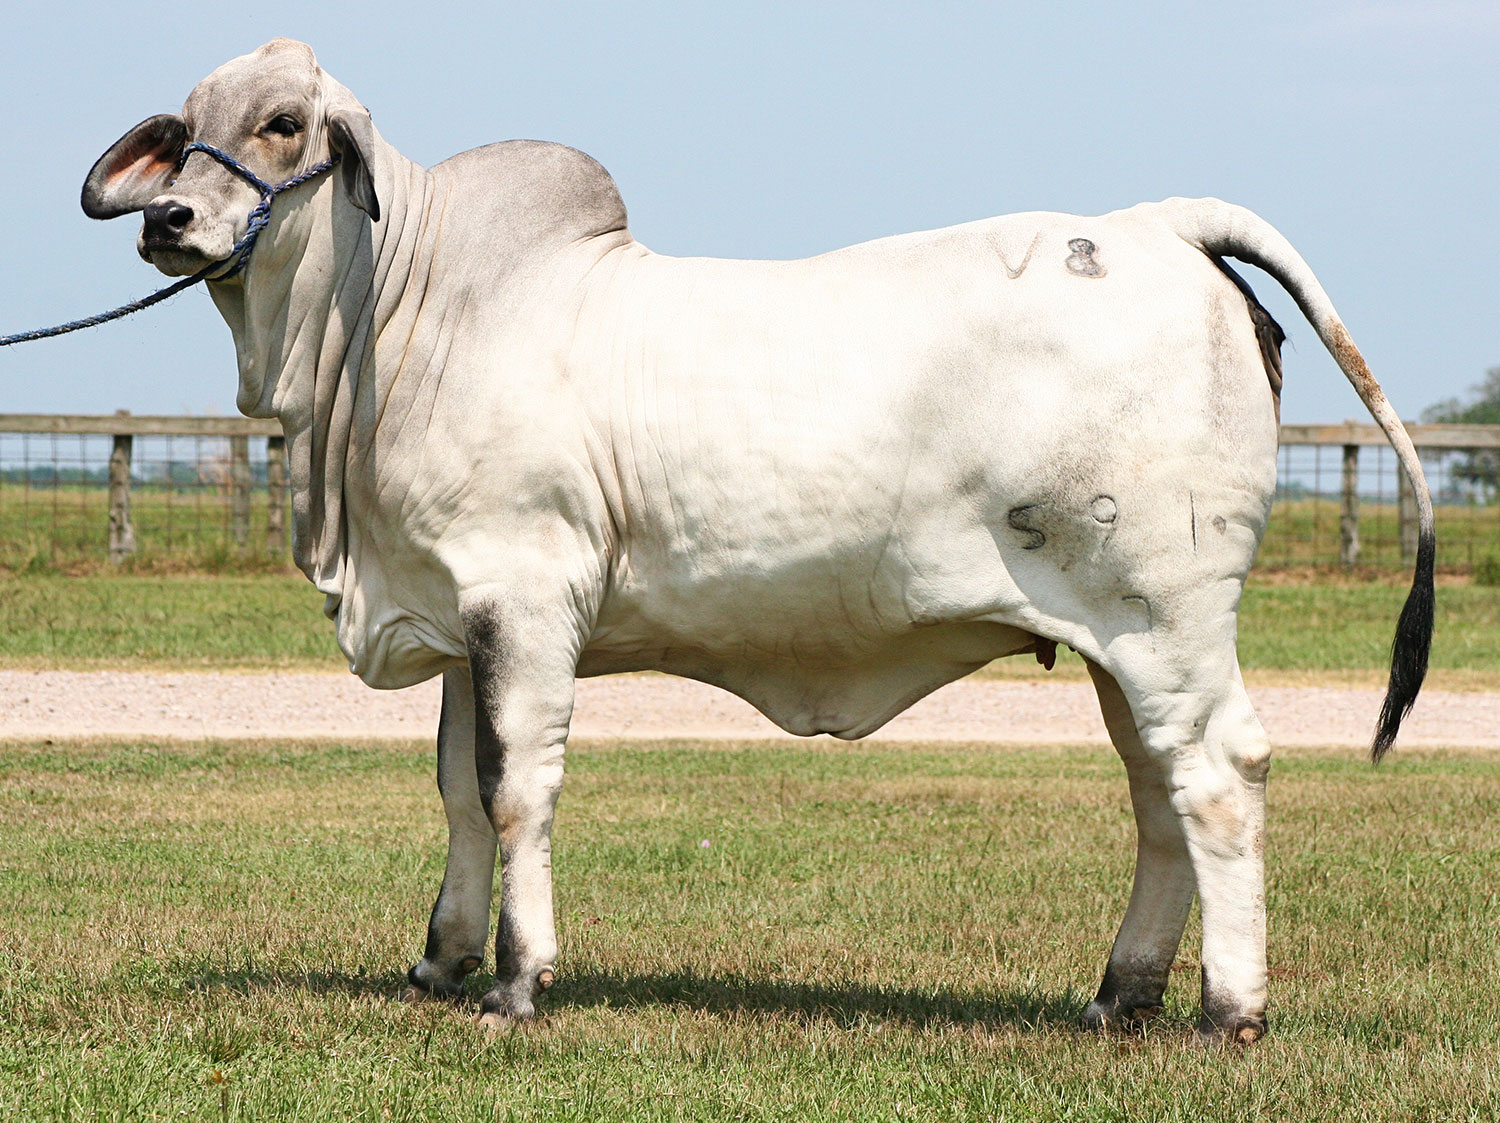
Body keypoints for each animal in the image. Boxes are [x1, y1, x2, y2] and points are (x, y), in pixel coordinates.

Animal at [79, 43, 1428, 1043]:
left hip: (1168, 614)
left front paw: (518, 980)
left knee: (1221, 774)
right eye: (186, 126)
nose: (169, 218)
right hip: (1116, 638)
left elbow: (520, 788)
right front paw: (440, 960)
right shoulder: (461, 611)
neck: (400, 316)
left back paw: (1230, 1008)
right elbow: (462, 788)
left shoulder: (525, 594)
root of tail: (1159, 225)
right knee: (1157, 789)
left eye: (284, 123)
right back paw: (1121, 992)